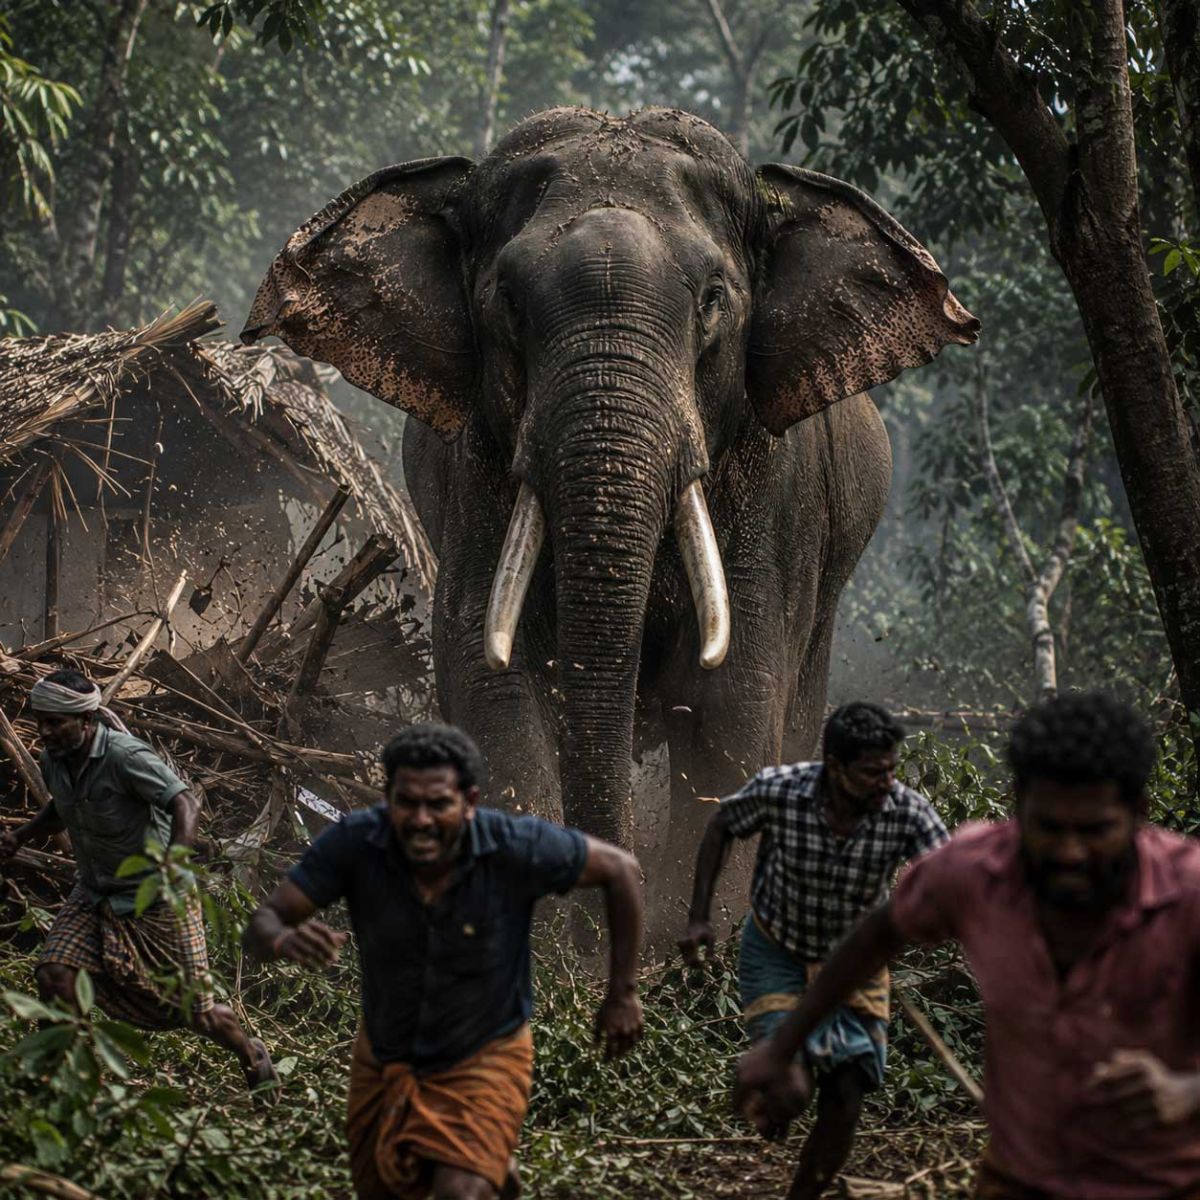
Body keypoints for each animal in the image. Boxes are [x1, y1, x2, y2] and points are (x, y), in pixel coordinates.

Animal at [242, 106, 977, 866]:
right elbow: (492, 687)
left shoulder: (778, 497)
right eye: (508, 301)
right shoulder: (476, 475)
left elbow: (735, 712)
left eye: (713, 299)